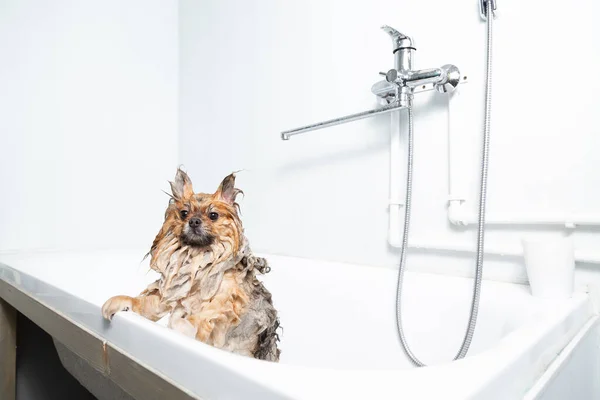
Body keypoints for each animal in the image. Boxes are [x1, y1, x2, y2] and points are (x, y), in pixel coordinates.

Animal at [102, 167, 280, 360]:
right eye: (184, 213)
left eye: (213, 215)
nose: (194, 221)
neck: (197, 258)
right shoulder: (170, 294)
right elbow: (146, 303)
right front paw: (120, 301)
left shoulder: (227, 296)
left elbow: (204, 316)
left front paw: (182, 327)